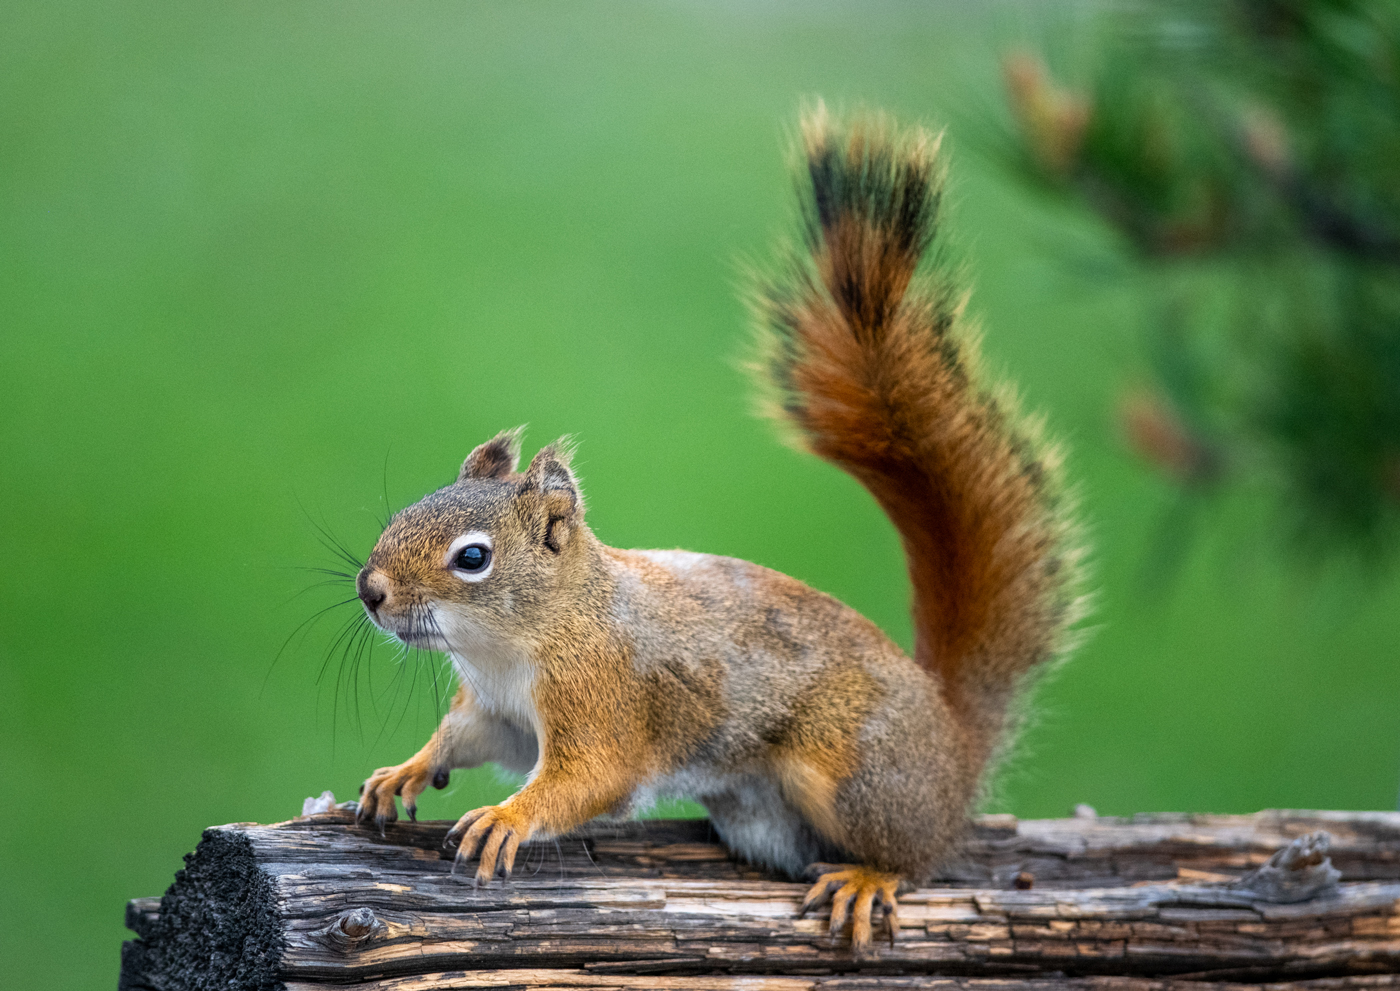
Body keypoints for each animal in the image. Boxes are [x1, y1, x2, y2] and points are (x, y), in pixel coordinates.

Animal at [350, 108, 1080, 951]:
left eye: (472, 557)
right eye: (409, 509)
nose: (370, 590)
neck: (518, 641)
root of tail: (954, 747)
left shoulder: (604, 700)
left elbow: (587, 779)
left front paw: (507, 816)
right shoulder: (499, 713)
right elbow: (464, 739)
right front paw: (403, 769)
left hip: (853, 775)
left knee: (916, 854)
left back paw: (869, 877)